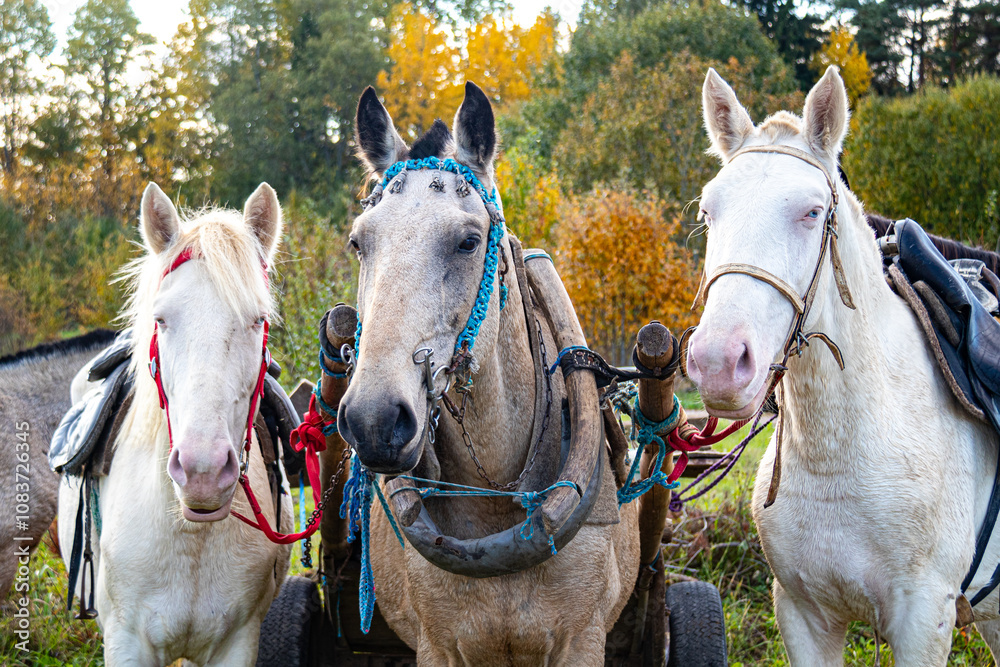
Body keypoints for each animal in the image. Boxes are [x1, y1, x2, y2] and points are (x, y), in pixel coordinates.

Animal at [57, 183, 293, 665]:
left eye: (258, 320)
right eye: (161, 320)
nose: (203, 471)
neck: (190, 533)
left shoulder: (239, 641)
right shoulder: (126, 641)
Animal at [336, 82, 640, 665]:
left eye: (468, 241)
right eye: (359, 243)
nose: (374, 419)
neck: (497, 495)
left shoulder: (583, 639)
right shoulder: (438, 645)